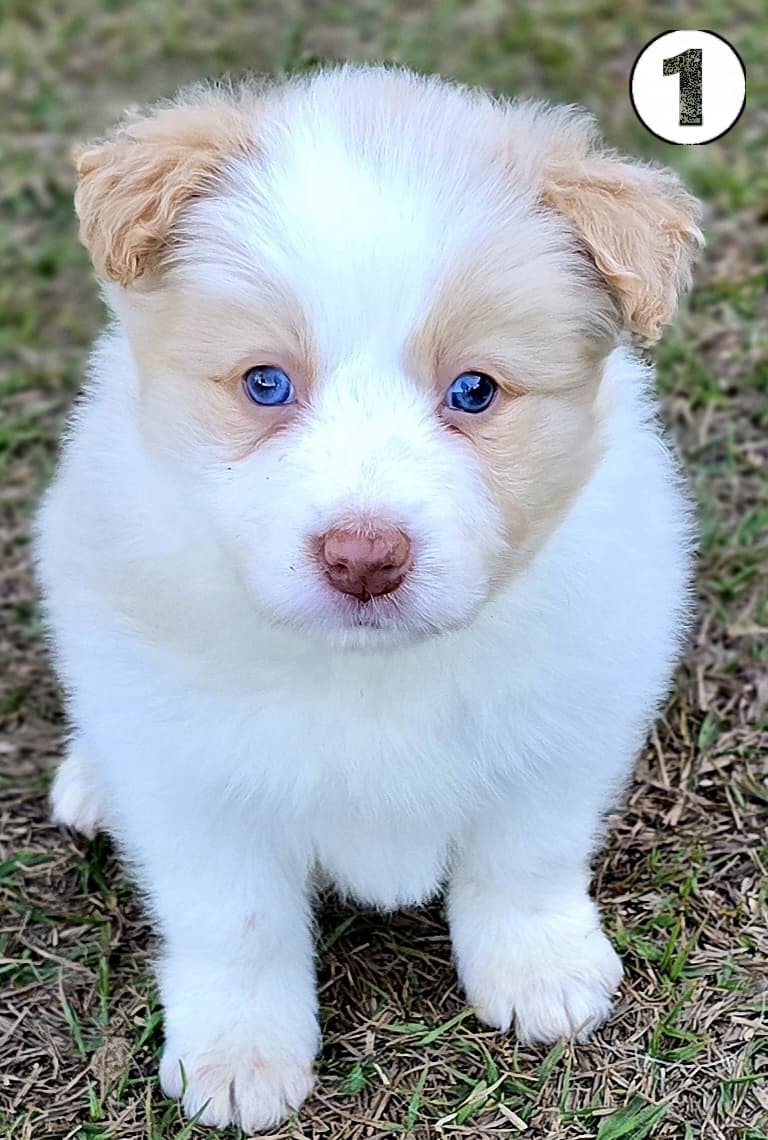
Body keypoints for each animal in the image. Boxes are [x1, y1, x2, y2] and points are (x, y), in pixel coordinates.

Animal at [36, 65, 702, 1131]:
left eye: (475, 392)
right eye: (266, 384)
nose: (362, 557)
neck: (369, 671)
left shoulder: (568, 714)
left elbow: (524, 854)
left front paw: (541, 971)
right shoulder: (192, 778)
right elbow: (237, 919)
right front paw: (239, 1055)